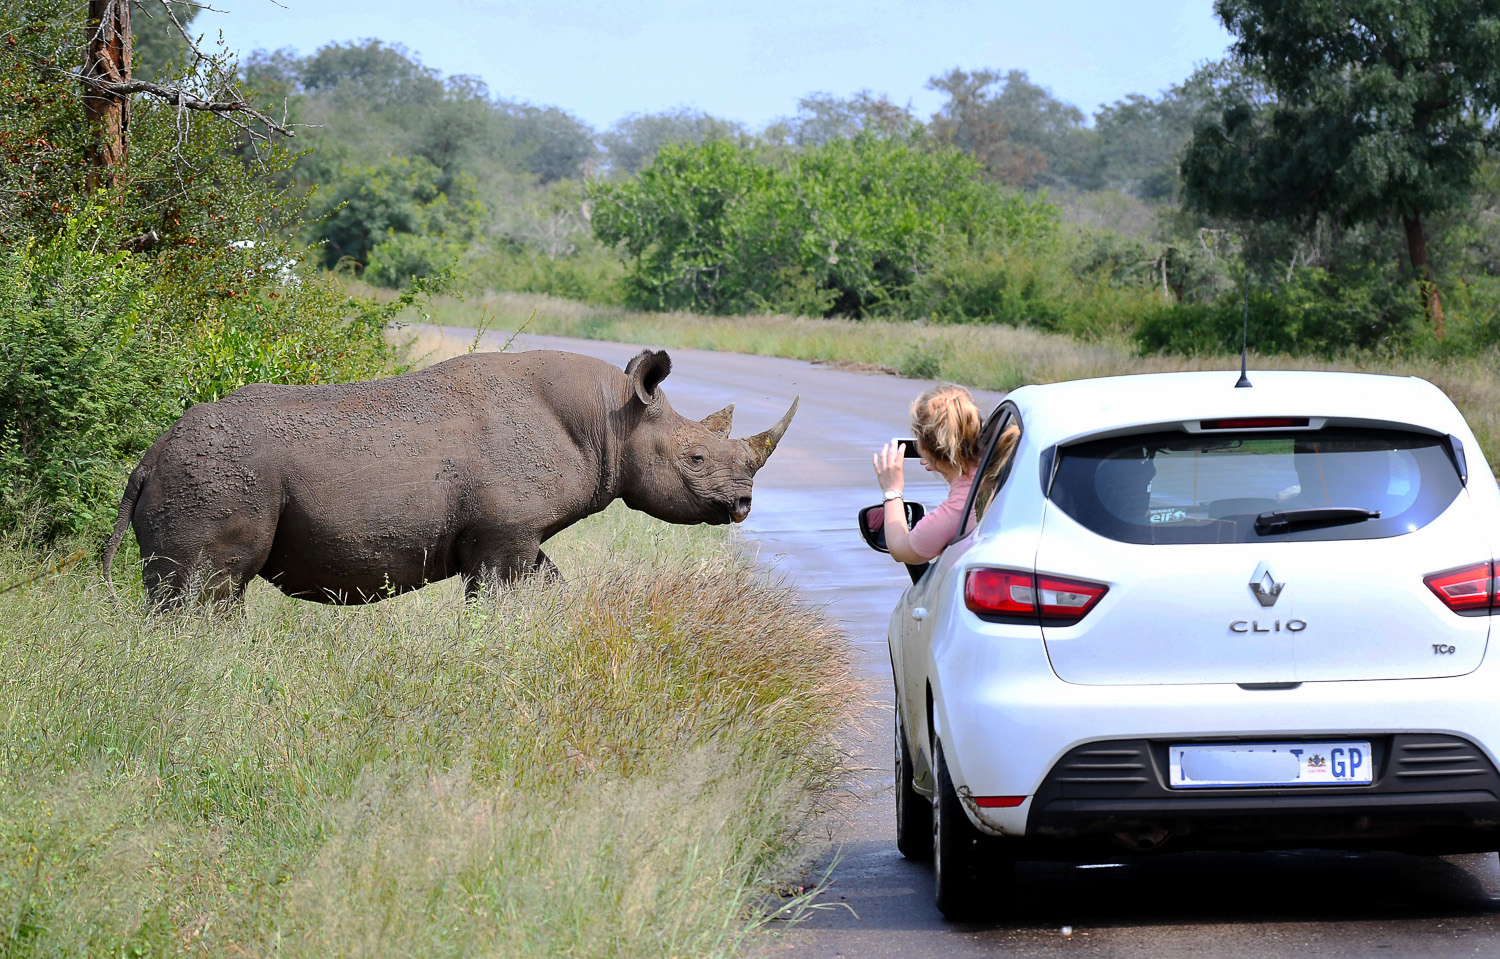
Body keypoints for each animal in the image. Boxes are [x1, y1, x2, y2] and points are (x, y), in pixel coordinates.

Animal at [101, 348, 798, 606]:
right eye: (696, 460)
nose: (743, 504)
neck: (612, 419)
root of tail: (147, 460)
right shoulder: (503, 535)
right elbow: (499, 599)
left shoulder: (515, 535)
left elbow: (548, 586)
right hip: (217, 477)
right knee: (207, 593)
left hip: (193, 472)